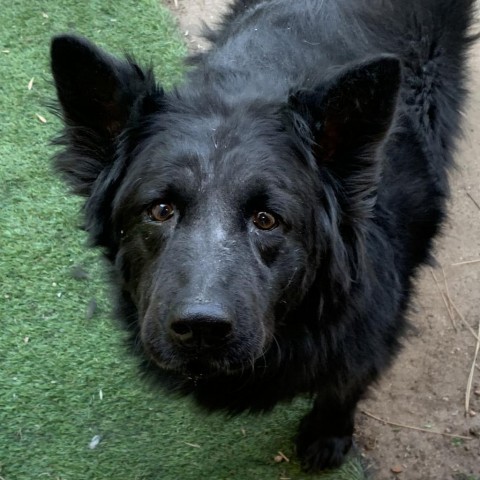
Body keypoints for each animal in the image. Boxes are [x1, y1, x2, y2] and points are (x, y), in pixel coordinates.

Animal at [49, 0, 476, 472]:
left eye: (266, 219)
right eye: (160, 210)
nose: (200, 329)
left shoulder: (376, 323)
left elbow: (347, 380)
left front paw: (328, 434)